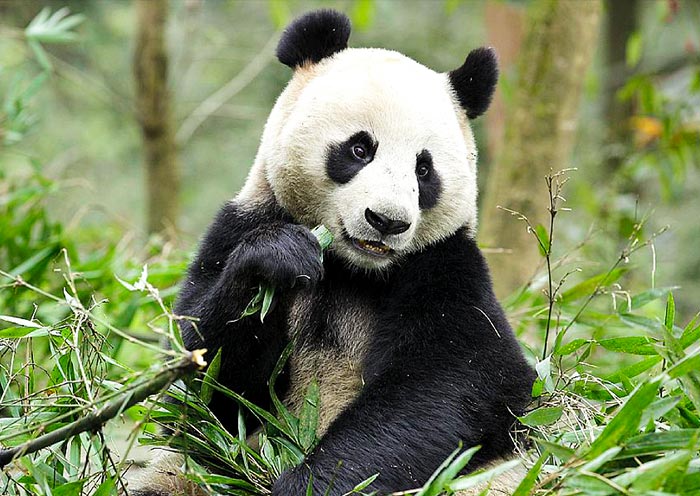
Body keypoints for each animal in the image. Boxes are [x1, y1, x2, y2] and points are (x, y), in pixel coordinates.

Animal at [133, 9, 536, 496]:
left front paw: (308, 482)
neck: (354, 268)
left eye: (424, 169)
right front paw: (278, 258)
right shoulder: (240, 225)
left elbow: (456, 377)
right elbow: (207, 379)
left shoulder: (445, 264)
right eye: (360, 148)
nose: (387, 221)